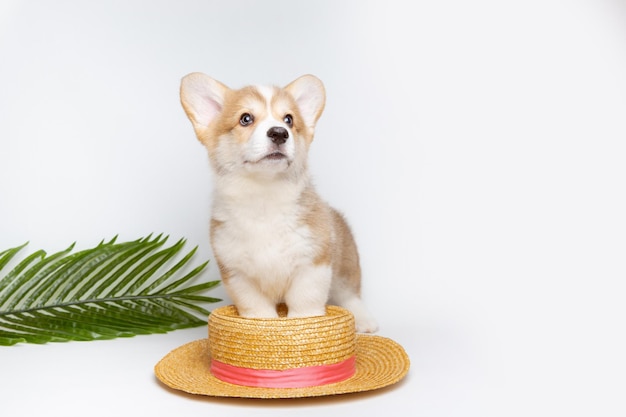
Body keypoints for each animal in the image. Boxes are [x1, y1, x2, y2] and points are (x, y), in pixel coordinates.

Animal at [178, 71, 378, 332]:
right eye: (245, 119)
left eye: (289, 120)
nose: (279, 133)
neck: (264, 197)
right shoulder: (238, 275)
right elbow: (257, 310)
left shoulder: (312, 265)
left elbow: (305, 304)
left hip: (345, 265)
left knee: (350, 294)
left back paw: (364, 320)